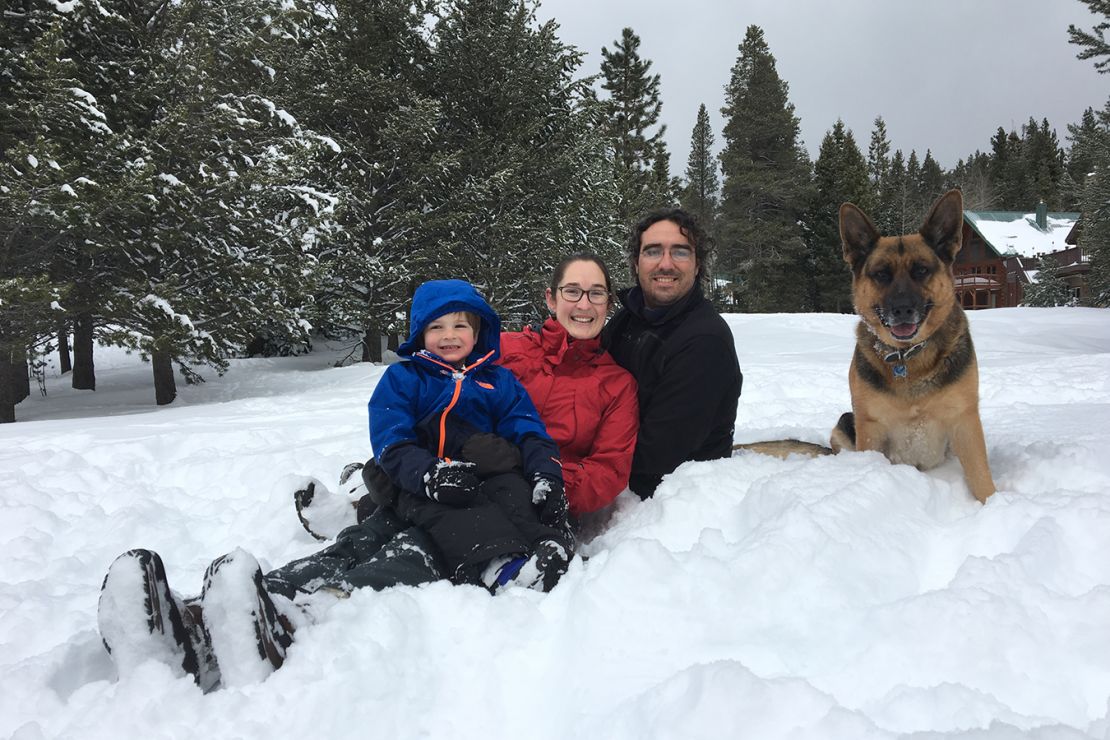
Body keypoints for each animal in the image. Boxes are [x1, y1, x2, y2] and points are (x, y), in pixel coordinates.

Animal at [834, 190, 999, 503]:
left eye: (921, 270)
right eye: (881, 274)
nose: (902, 310)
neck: (908, 356)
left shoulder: (964, 420)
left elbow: (980, 476)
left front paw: (993, 504)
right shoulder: (870, 426)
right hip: (845, 421)